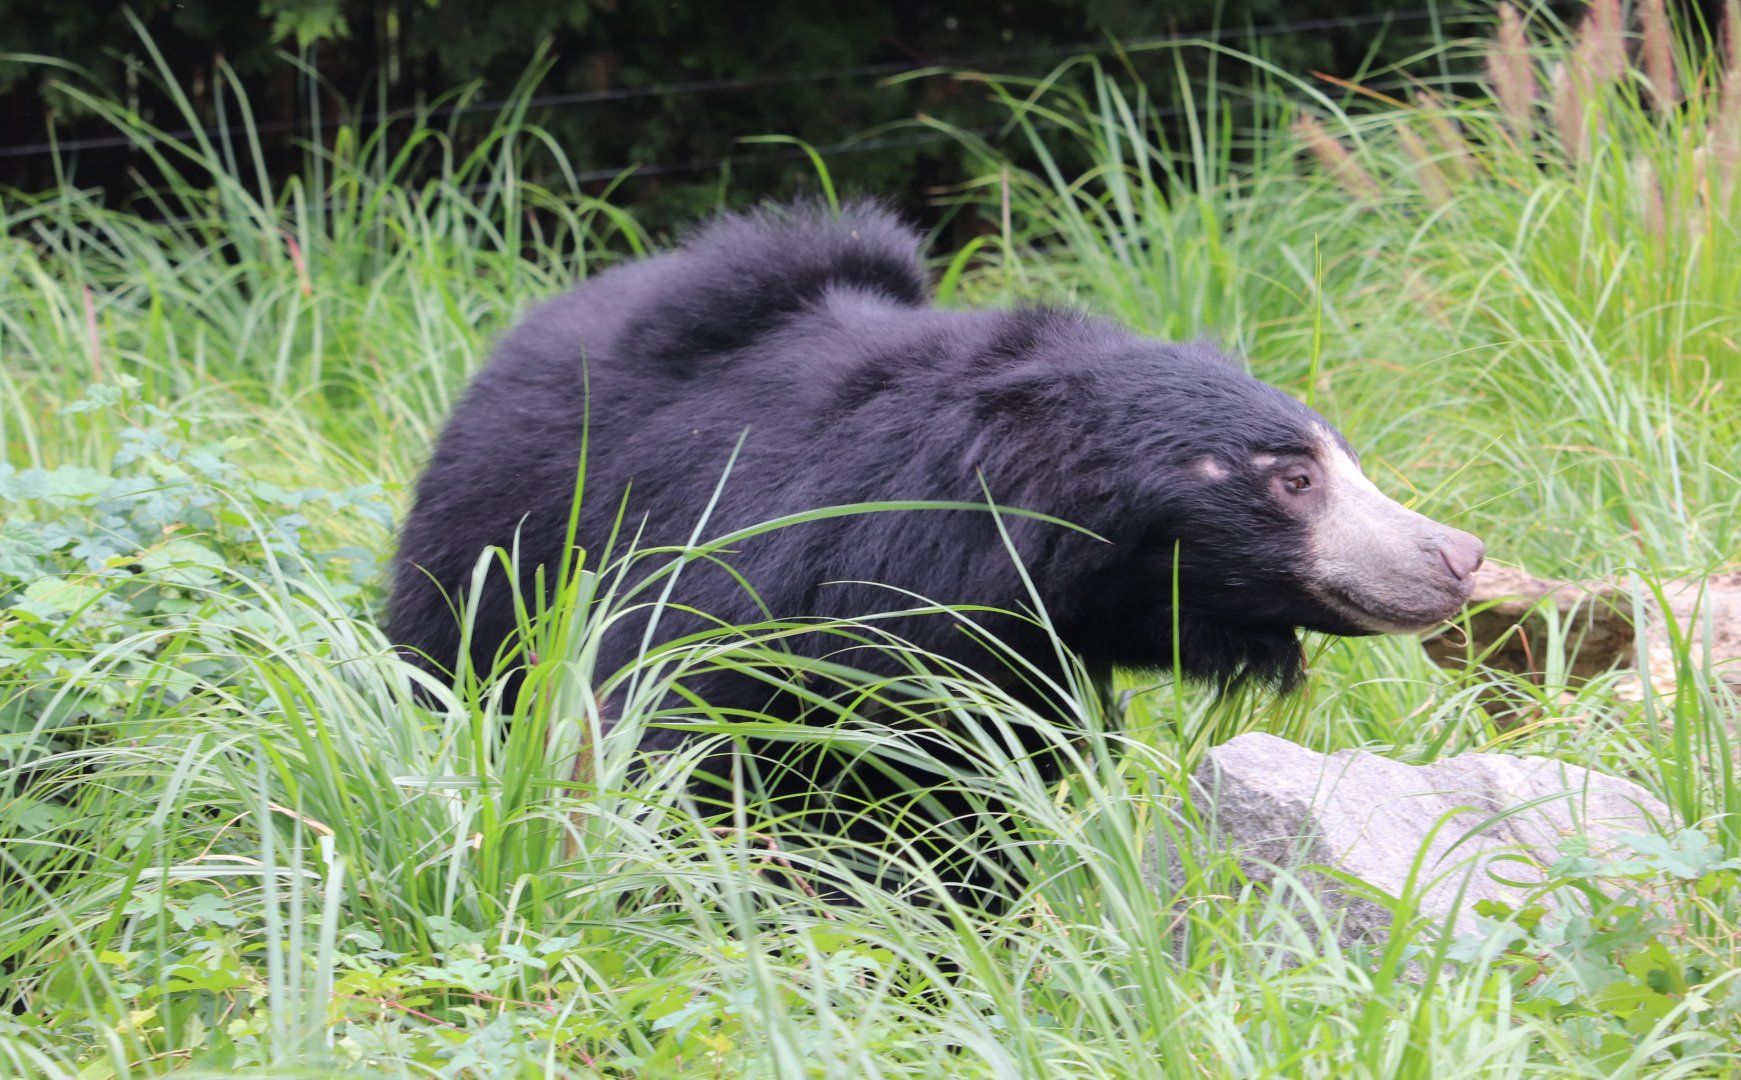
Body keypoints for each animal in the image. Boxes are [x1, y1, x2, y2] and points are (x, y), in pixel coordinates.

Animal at [389, 200, 1483, 900]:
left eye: (1342, 457)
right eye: (1290, 478)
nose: (1458, 555)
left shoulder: (1011, 671)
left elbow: (964, 811)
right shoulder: (748, 586)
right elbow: (678, 748)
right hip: (485, 558)